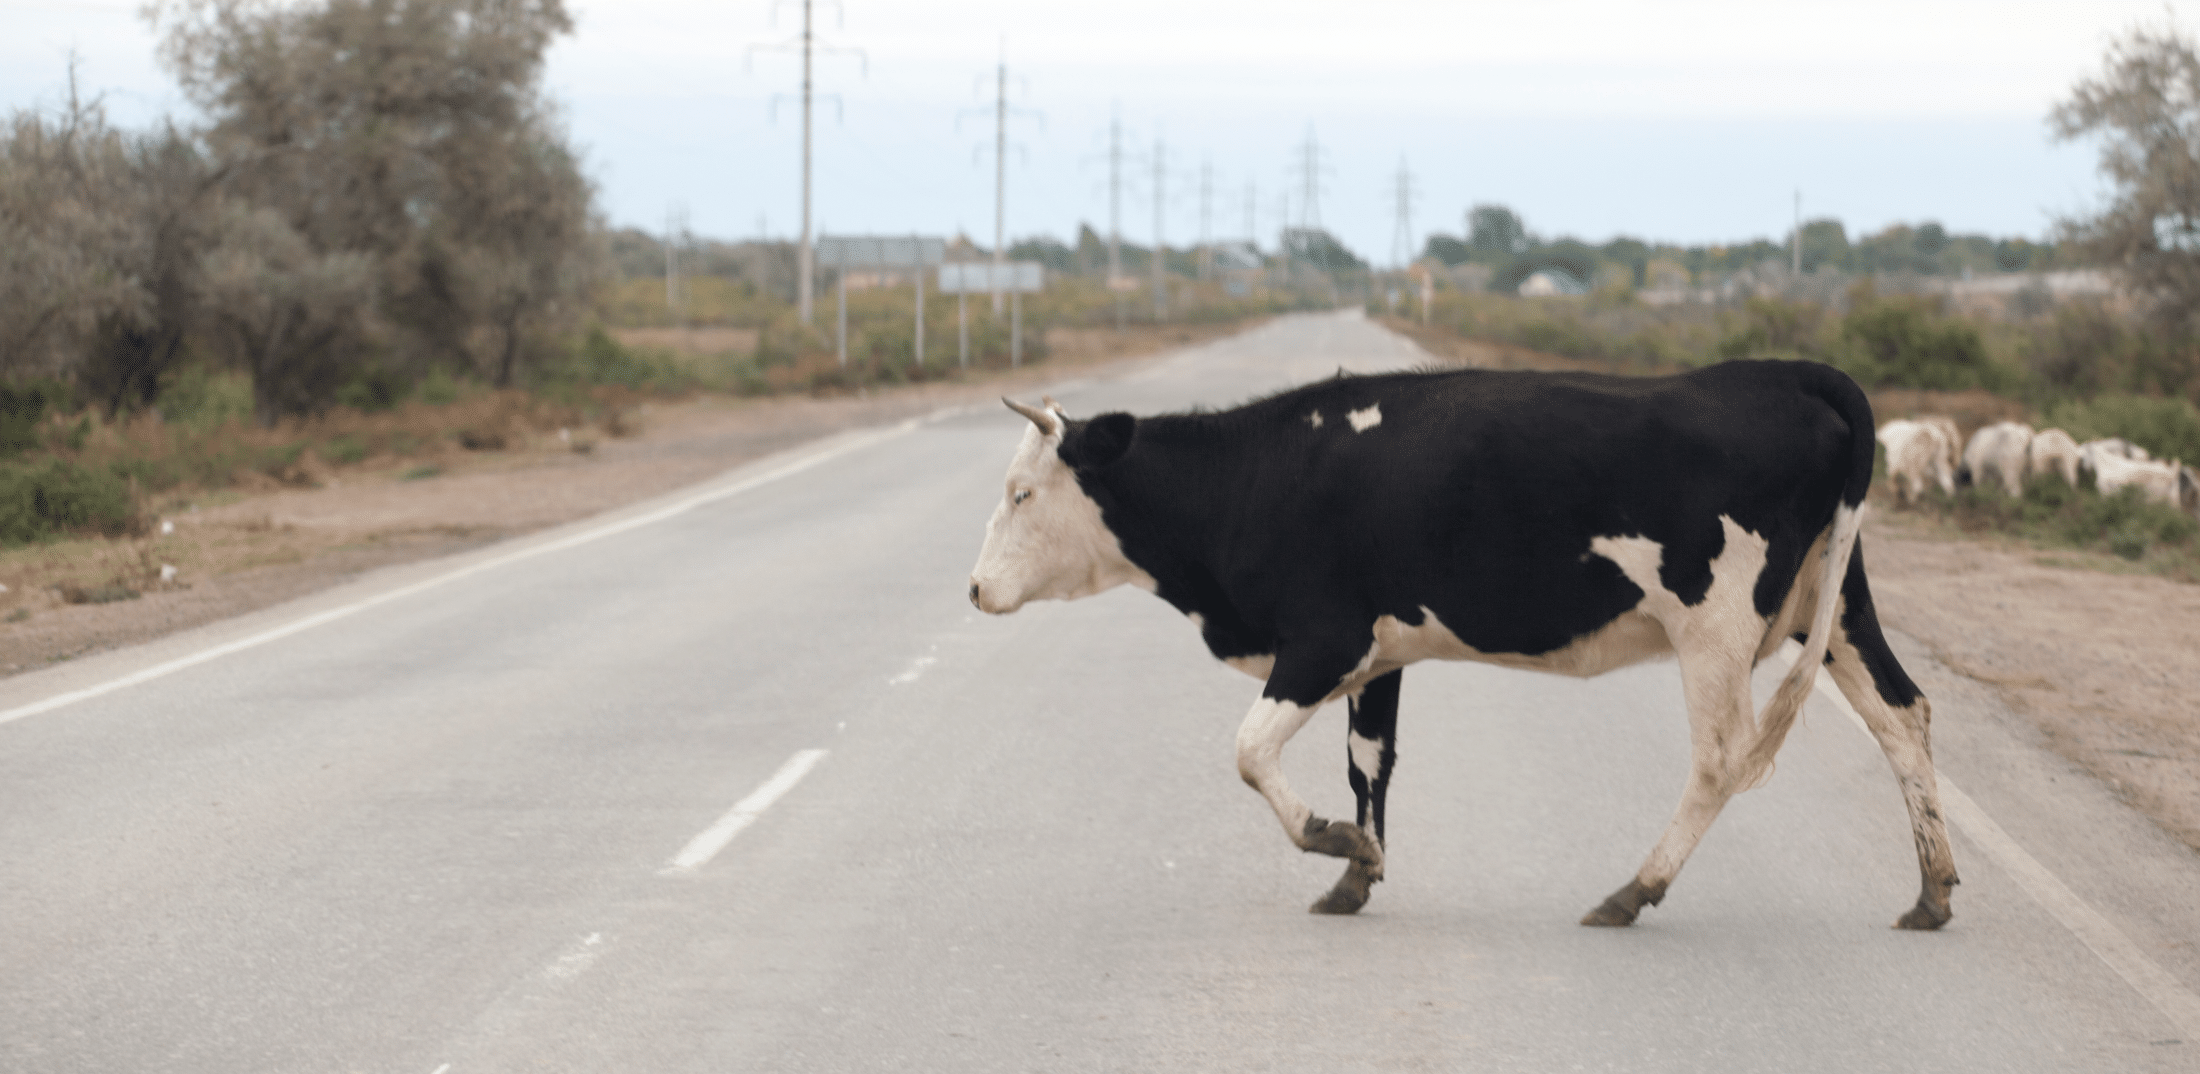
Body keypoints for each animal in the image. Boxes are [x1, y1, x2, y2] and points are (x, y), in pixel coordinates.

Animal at [963, 360, 1962, 933]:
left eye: (1021, 493)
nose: (973, 589)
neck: (1265, 478)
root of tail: (1788, 371)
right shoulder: (1380, 655)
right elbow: (1369, 762)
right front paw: (1357, 874)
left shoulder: (1321, 640)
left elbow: (1249, 752)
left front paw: (1332, 844)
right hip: (1829, 607)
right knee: (1902, 713)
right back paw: (1931, 891)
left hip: (1717, 623)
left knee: (1720, 759)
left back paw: (1632, 890)